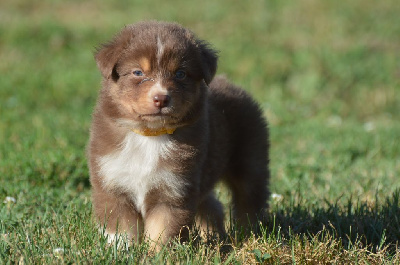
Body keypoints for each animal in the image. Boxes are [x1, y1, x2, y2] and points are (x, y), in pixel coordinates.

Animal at [87, 21, 268, 245]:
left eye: (180, 73)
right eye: (138, 72)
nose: (161, 98)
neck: (150, 135)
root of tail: (232, 84)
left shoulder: (174, 190)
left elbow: (162, 232)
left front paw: (158, 252)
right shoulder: (112, 184)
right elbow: (121, 231)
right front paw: (120, 250)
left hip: (250, 160)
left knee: (249, 199)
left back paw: (249, 234)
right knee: (212, 204)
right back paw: (213, 235)